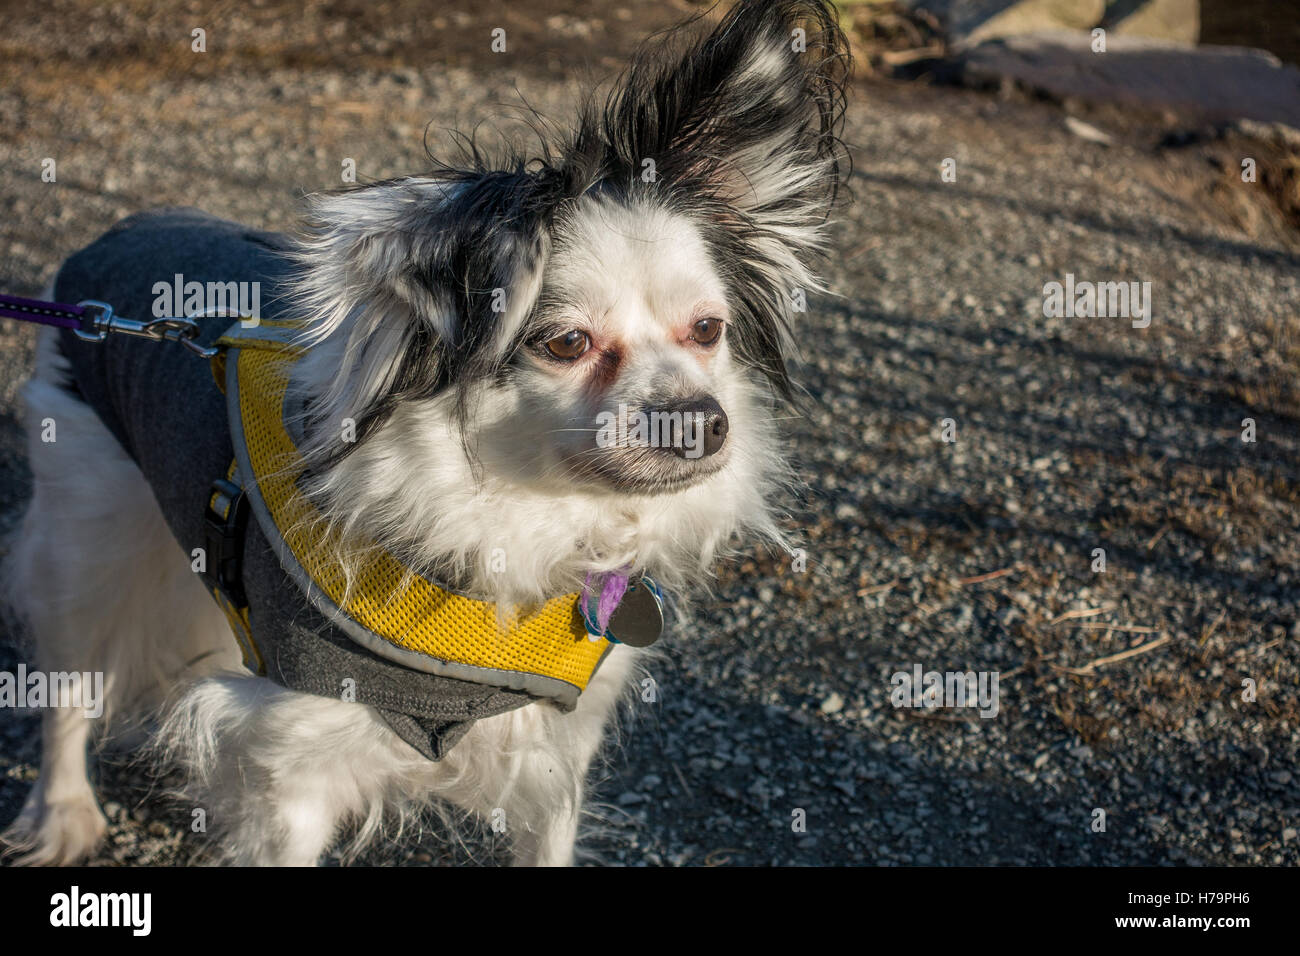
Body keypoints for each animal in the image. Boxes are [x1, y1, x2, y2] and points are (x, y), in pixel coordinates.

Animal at [2, 1, 852, 868]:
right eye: (566, 344)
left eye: (708, 331)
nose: (703, 421)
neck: (524, 527)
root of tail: (117, 237)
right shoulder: (292, 767)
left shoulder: (553, 754)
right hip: (85, 538)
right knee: (67, 683)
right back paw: (62, 813)